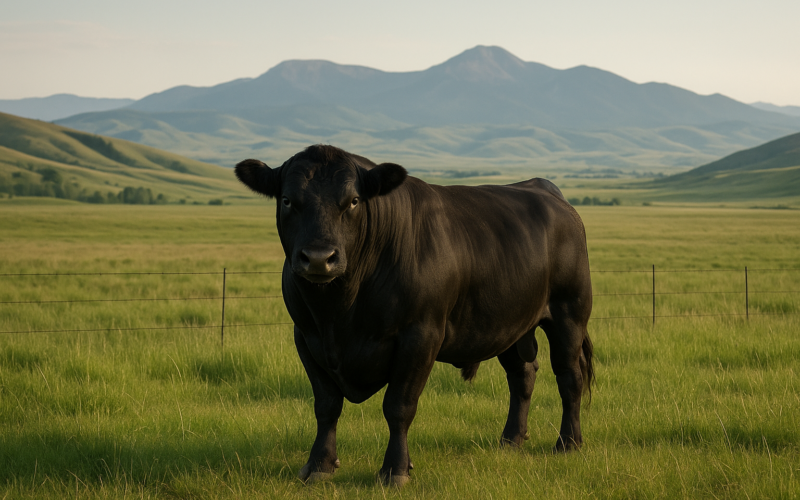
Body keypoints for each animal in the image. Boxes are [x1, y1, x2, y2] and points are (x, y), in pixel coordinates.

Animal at [235, 145, 594, 487]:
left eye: (353, 201)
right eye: (287, 200)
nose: (320, 258)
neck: (339, 311)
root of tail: (545, 189)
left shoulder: (420, 336)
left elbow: (398, 406)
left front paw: (395, 469)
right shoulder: (307, 337)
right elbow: (326, 405)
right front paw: (319, 466)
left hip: (569, 313)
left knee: (569, 376)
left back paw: (568, 443)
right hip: (509, 325)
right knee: (522, 374)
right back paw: (510, 440)